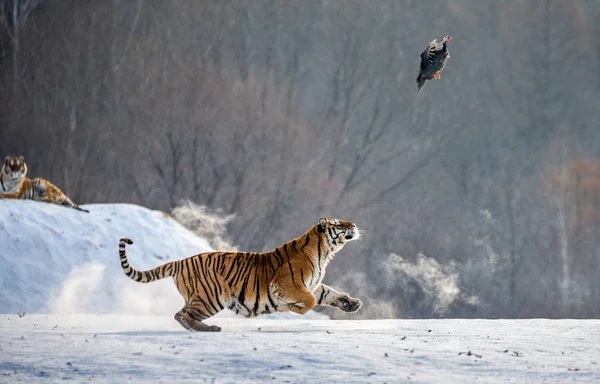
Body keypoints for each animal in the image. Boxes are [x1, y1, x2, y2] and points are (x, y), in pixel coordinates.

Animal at [117, 218, 360, 332]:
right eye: (338, 224)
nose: (354, 225)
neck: (325, 251)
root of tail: (181, 261)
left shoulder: (311, 285)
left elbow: (329, 293)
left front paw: (351, 303)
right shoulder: (287, 285)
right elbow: (309, 302)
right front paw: (291, 308)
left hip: (199, 298)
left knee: (180, 315)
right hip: (212, 297)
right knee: (186, 316)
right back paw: (212, 329)